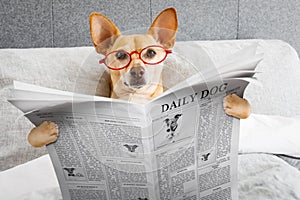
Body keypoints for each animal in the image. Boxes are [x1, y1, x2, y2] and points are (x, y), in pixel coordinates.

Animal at [27, 7, 251, 148]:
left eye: (150, 53)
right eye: (120, 55)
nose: (137, 71)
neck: (137, 99)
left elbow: (248, 110)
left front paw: (234, 103)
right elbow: (31, 138)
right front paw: (45, 131)